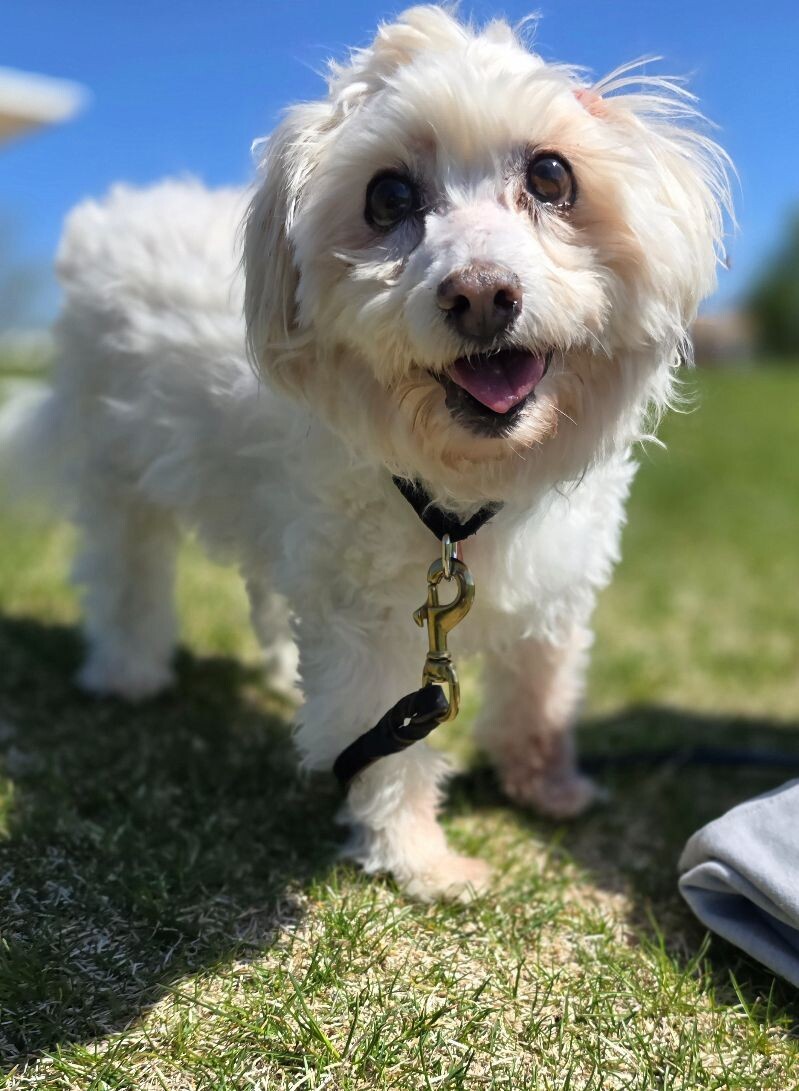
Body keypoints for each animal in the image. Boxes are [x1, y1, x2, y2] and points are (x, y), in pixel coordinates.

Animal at [1, 4, 729, 898]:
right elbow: (388, 751)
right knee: (123, 571)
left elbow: (540, 690)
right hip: (119, 471)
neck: (461, 494)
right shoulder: (373, 626)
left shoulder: (554, 579)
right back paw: (128, 671)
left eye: (552, 176)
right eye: (388, 197)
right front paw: (420, 858)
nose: (481, 294)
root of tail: (114, 213)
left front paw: (548, 785)